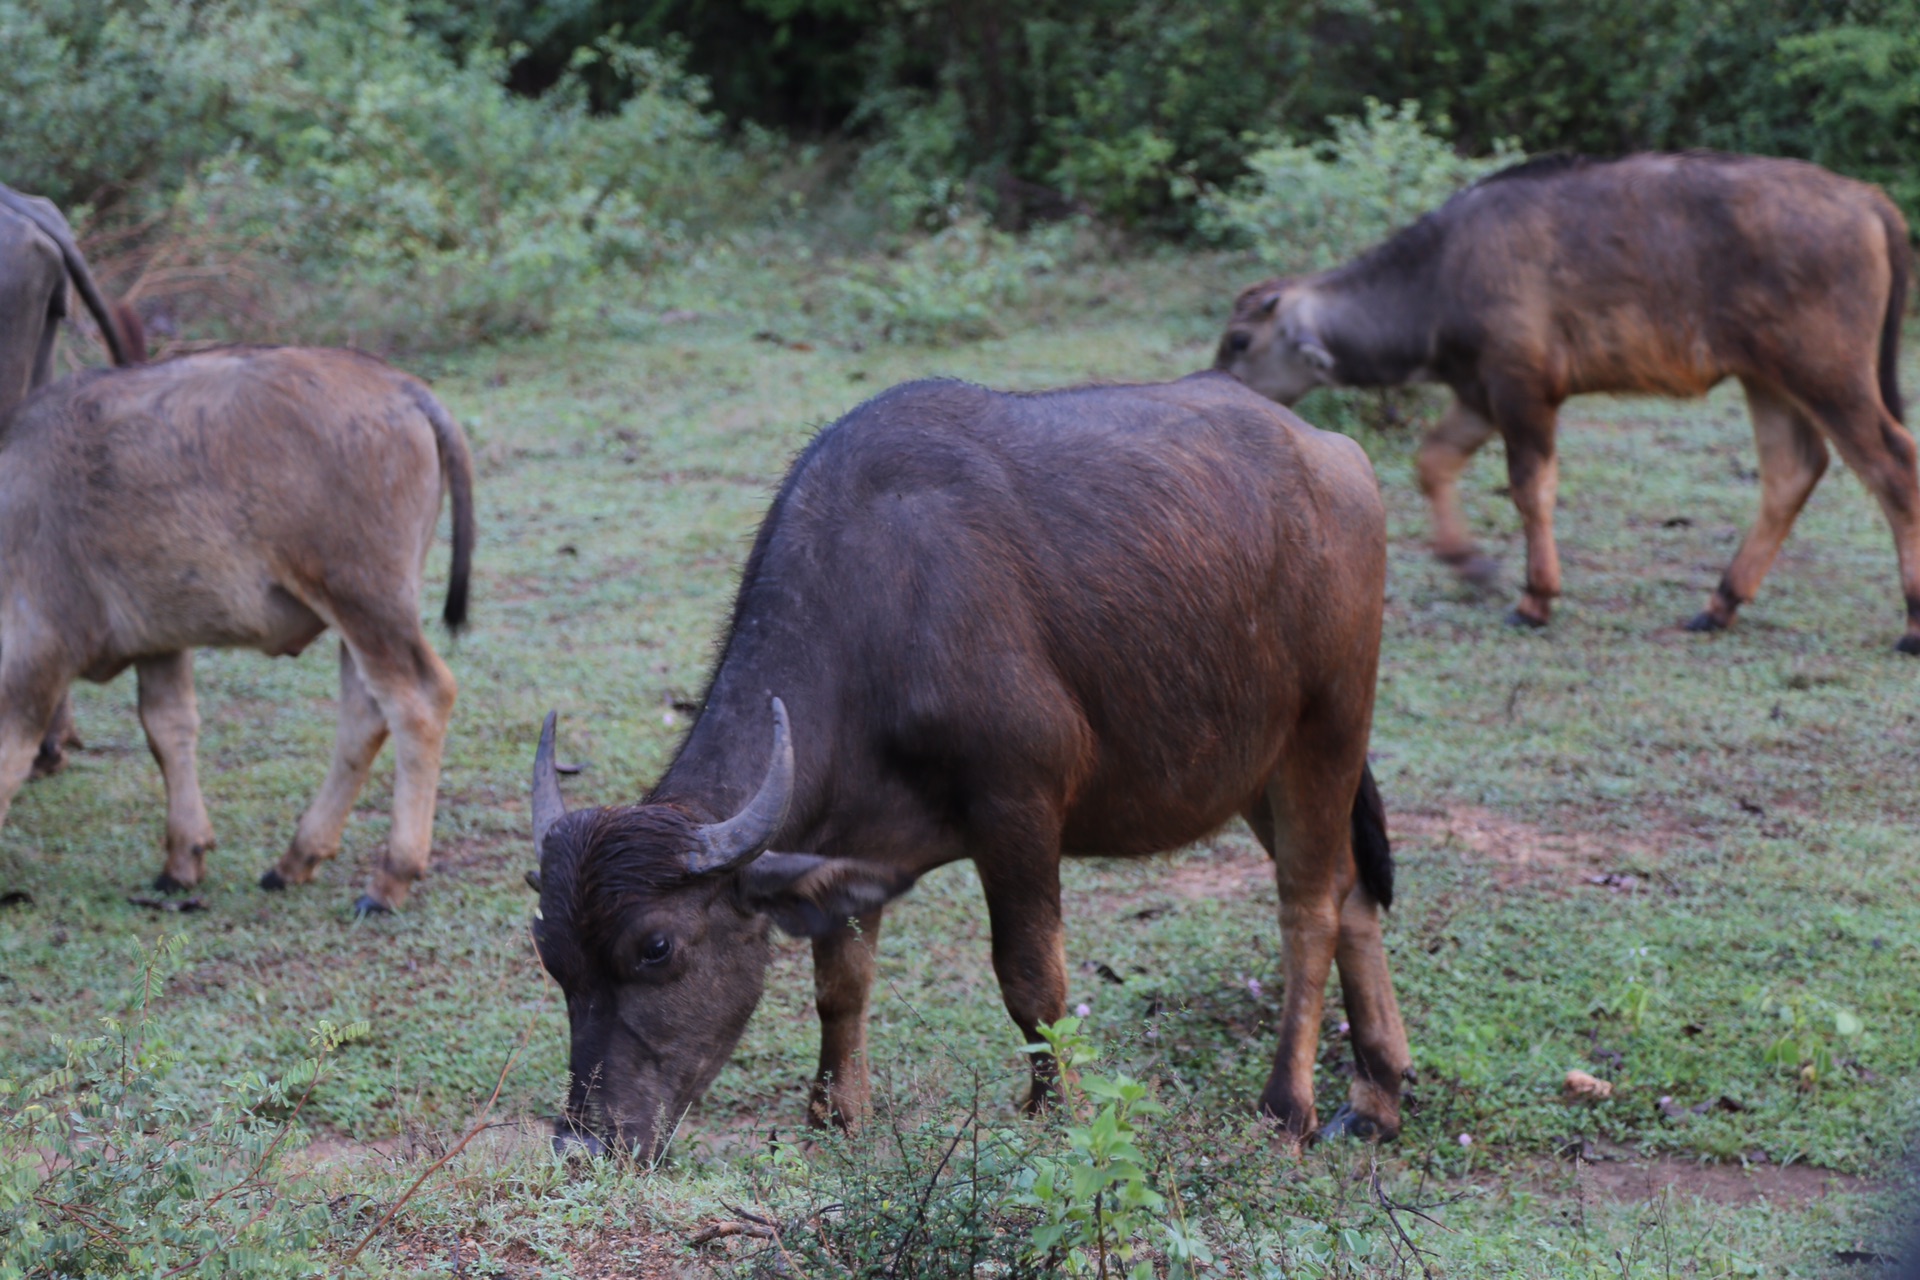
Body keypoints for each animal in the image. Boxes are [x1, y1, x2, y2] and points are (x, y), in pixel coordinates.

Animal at [0, 345, 476, 917]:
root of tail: (402, 388)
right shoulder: (159, 644)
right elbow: (169, 728)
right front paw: (183, 858)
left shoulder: (34, 652)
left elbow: (10, 756)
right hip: (362, 617)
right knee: (364, 715)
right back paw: (297, 858)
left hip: (366, 603)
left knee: (418, 701)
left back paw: (390, 877)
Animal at [526, 372, 1413, 1159]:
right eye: (552, 957)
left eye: (657, 947)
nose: (585, 1144)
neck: (883, 615)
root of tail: (1333, 454)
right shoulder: (843, 845)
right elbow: (839, 984)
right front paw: (834, 1117)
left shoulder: (1018, 810)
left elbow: (1031, 979)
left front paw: (1058, 1113)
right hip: (1257, 764)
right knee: (1353, 890)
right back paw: (1377, 1097)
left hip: (1329, 725)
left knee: (1309, 906)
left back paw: (1288, 1106)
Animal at [1213, 152, 1920, 652]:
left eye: (1241, 339)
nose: (1217, 384)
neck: (1441, 269)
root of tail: (1865, 199)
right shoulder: (1478, 394)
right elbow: (1433, 462)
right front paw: (1470, 563)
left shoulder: (1523, 391)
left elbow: (1531, 489)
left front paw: (1536, 598)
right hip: (1767, 377)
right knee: (1792, 470)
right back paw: (1719, 603)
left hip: (1828, 374)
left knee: (1893, 466)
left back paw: (1911, 623)